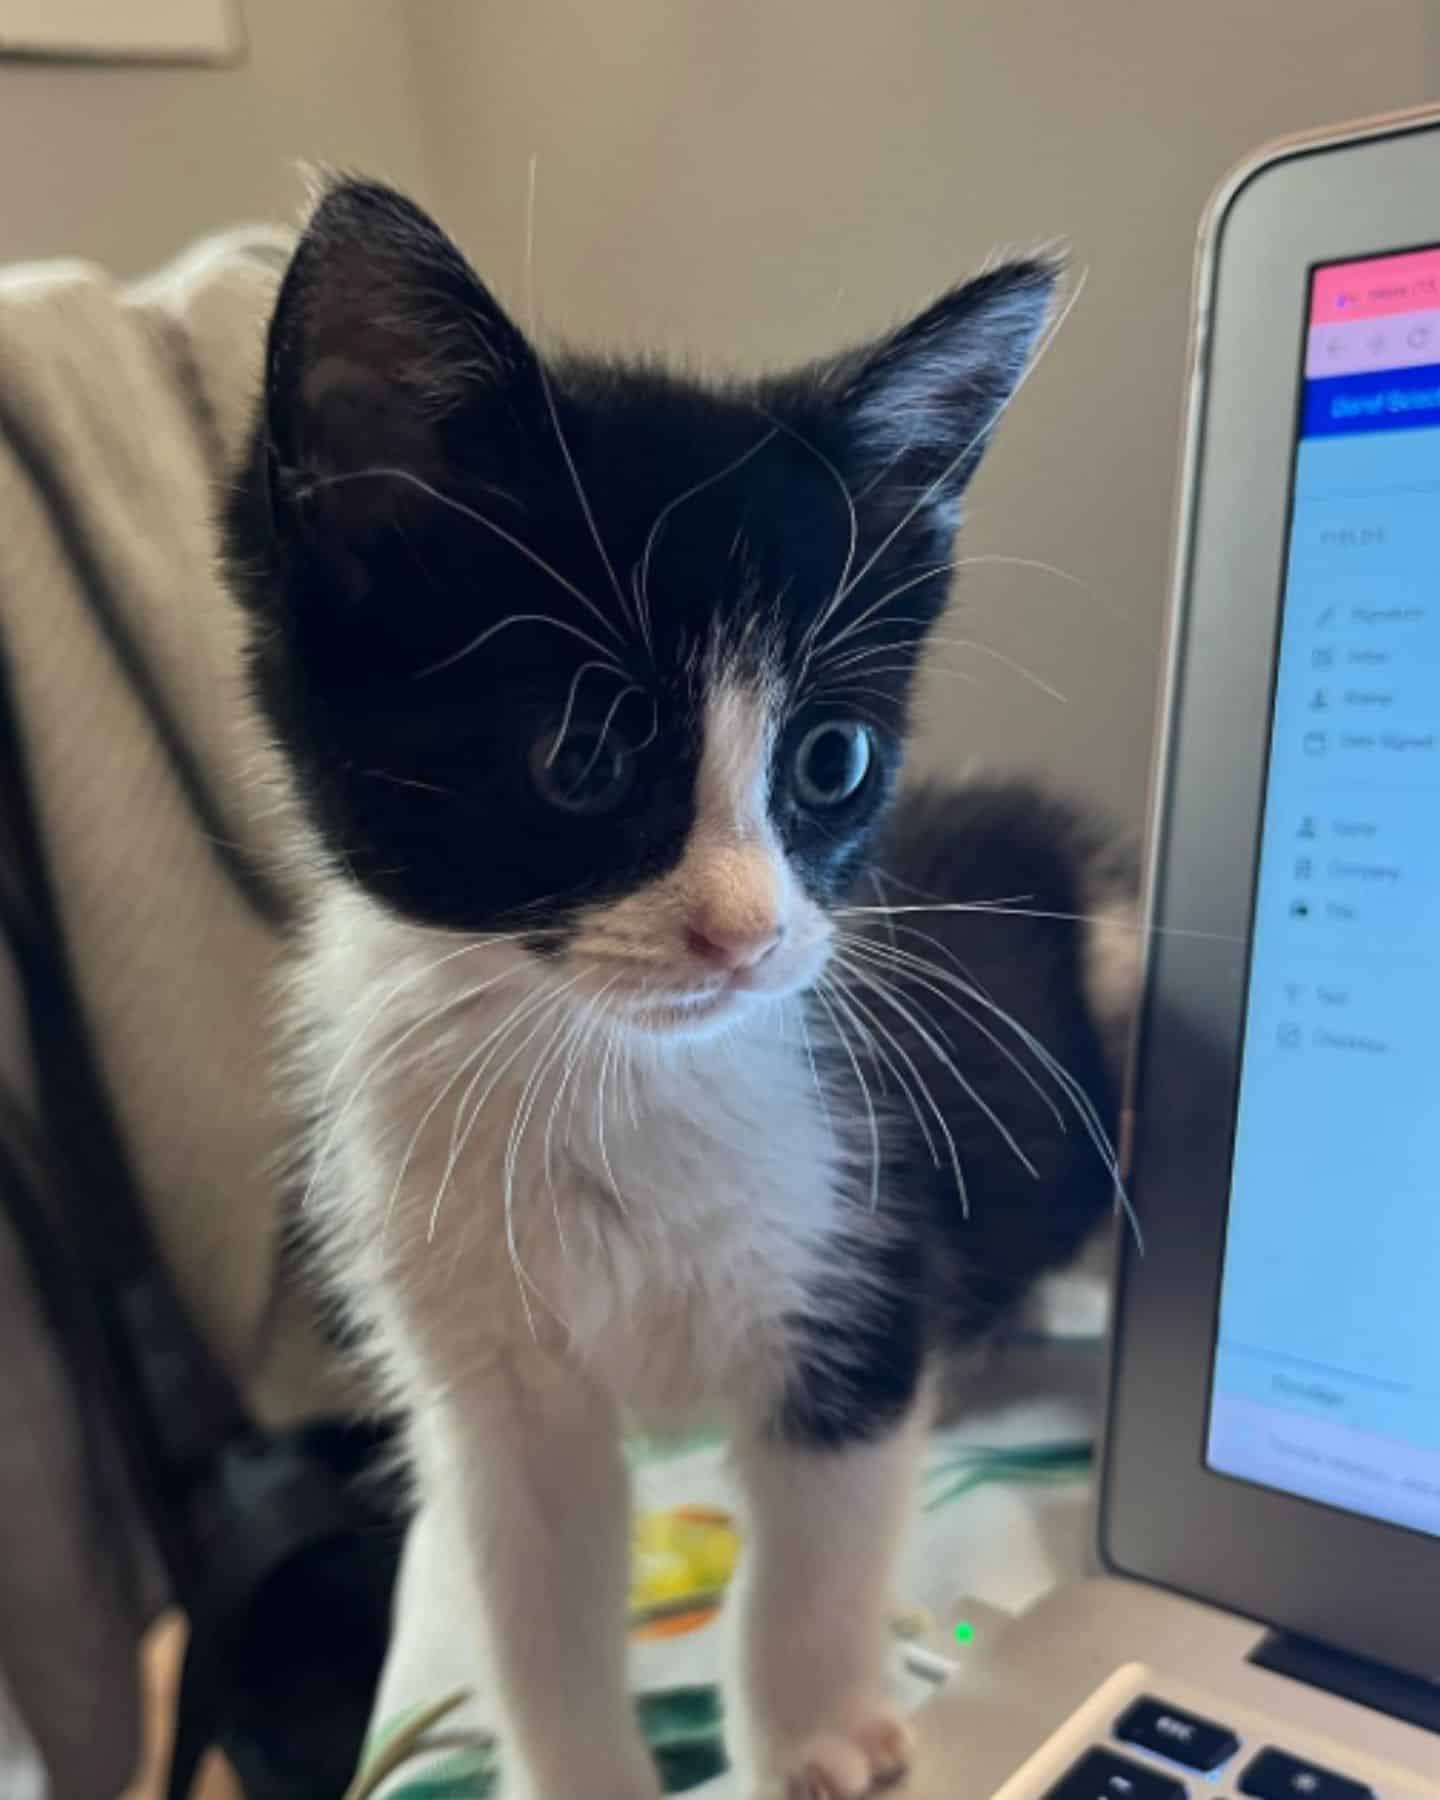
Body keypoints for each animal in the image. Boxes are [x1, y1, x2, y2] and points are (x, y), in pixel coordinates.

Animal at [225, 171, 1130, 1800]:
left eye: (831, 760)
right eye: (583, 755)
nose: (748, 937)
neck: (611, 1072)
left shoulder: (859, 1250)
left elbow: (814, 1556)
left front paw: (816, 1736)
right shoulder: (487, 1388)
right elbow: (531, 1596)